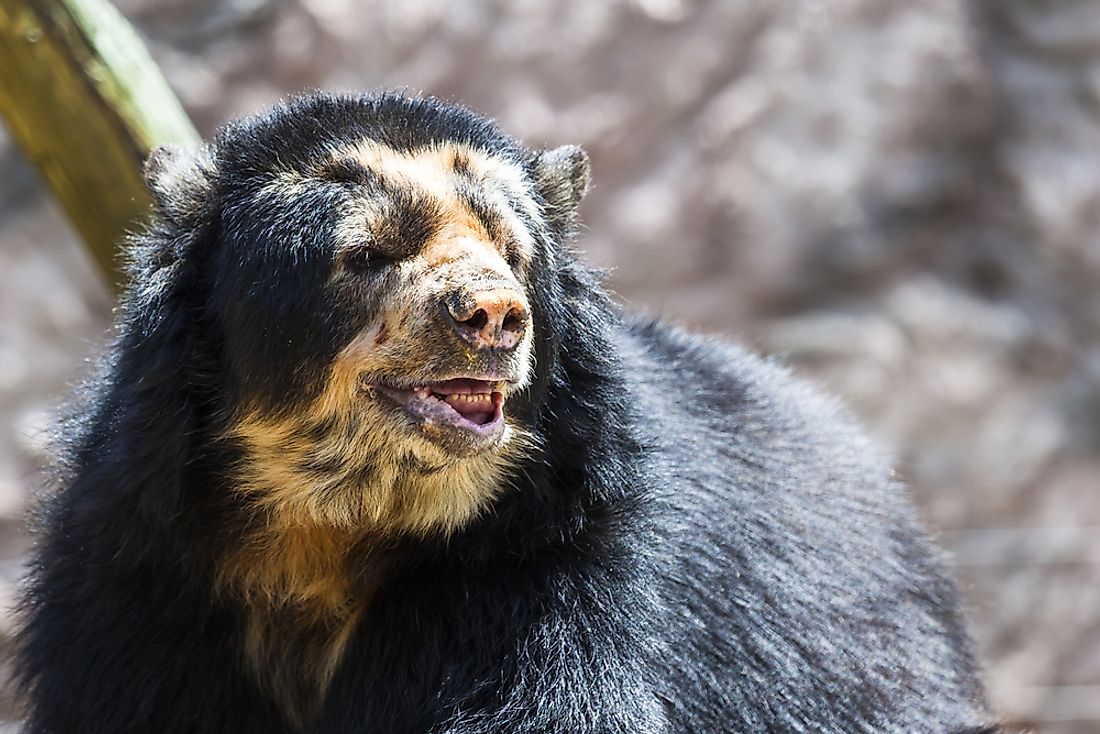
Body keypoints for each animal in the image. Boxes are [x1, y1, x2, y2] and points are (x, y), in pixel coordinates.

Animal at [15, 91, 998, 734]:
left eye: (514, 252)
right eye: (366, 254)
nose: (491, 314)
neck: (330, 530)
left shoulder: (545, 581)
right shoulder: (143, 585)